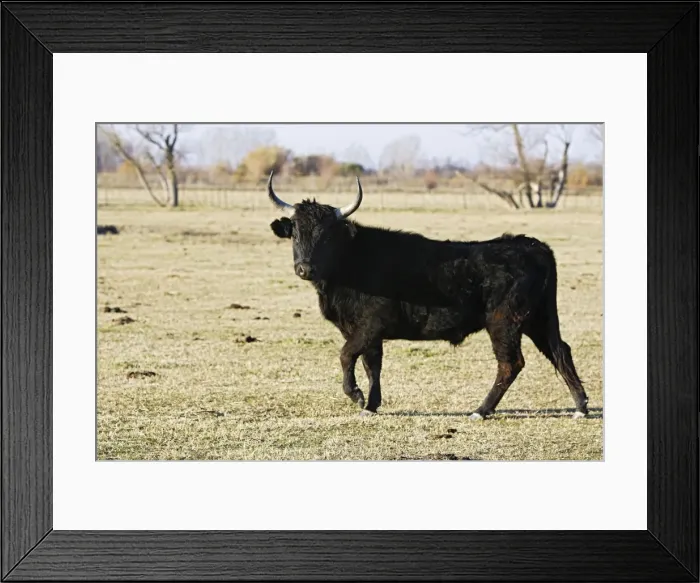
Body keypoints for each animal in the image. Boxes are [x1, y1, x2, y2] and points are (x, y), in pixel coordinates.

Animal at [267, 171, 589, 420]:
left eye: (326, 236)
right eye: (296, 234)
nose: (304, 268)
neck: (352, 259)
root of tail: (532, 245)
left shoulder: (369, 326)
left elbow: (347, 355)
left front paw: (356, 396)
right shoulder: (366, 332)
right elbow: (372, 365)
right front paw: (371, 405)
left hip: (505, 322)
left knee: (511, 363)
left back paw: (481, 410)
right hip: (539, 320)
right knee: (560, 351)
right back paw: (581, 406)